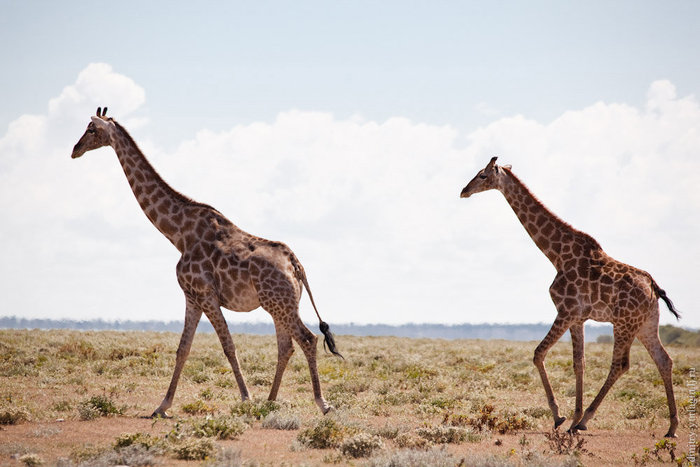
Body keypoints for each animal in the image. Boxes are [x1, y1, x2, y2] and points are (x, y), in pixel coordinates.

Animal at [71, 107, 342, 416]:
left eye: (91, 129)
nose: (75, 149)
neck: (178, 233)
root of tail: (296, 265)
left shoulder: (206, 294)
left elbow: (228, 346)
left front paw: (245, 398)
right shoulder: (192, 297)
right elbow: (183, 349)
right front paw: (162, 406)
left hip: (279, 303)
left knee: (307, 339)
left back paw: (322, 403)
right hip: (280, 305)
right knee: (286, 346)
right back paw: (270, 401)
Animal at [460, 157, 680, 438]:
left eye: (483, 175)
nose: (463, 191)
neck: (557, 256)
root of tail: (654, 287)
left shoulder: (566, 311)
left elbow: (538, 354)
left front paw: (560, 417)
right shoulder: (578, 318)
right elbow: (579, 363)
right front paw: (571, 416)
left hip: (624, 323)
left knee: (620, 365)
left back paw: (586, 419)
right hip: (647, 324)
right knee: (664, 360)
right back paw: (671, 427)